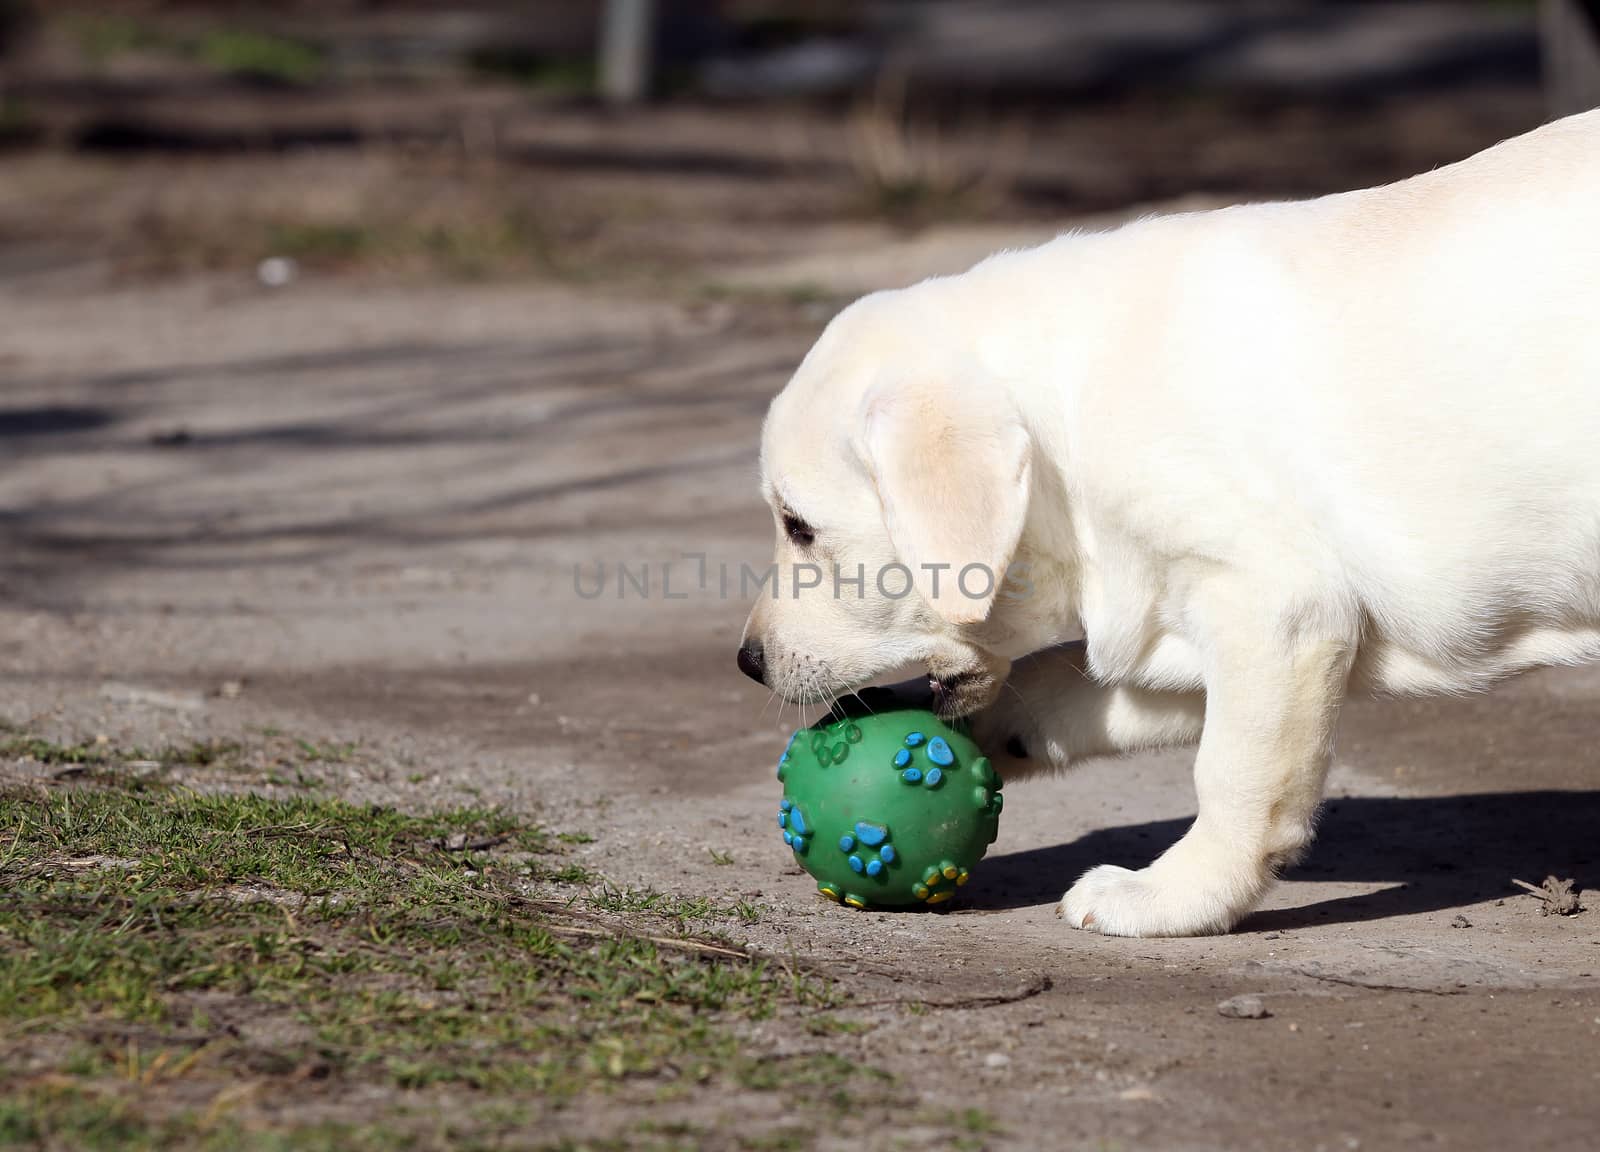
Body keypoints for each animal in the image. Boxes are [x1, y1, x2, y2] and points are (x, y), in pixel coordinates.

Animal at [736, 110, 1600, 934]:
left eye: (799, 526)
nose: (747, 663)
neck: (1068, 418)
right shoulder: (1184, 607)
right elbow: (1089, 682)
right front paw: (1004, 726)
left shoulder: (1279, 605)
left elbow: (1232, 770)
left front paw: (1173, 896)